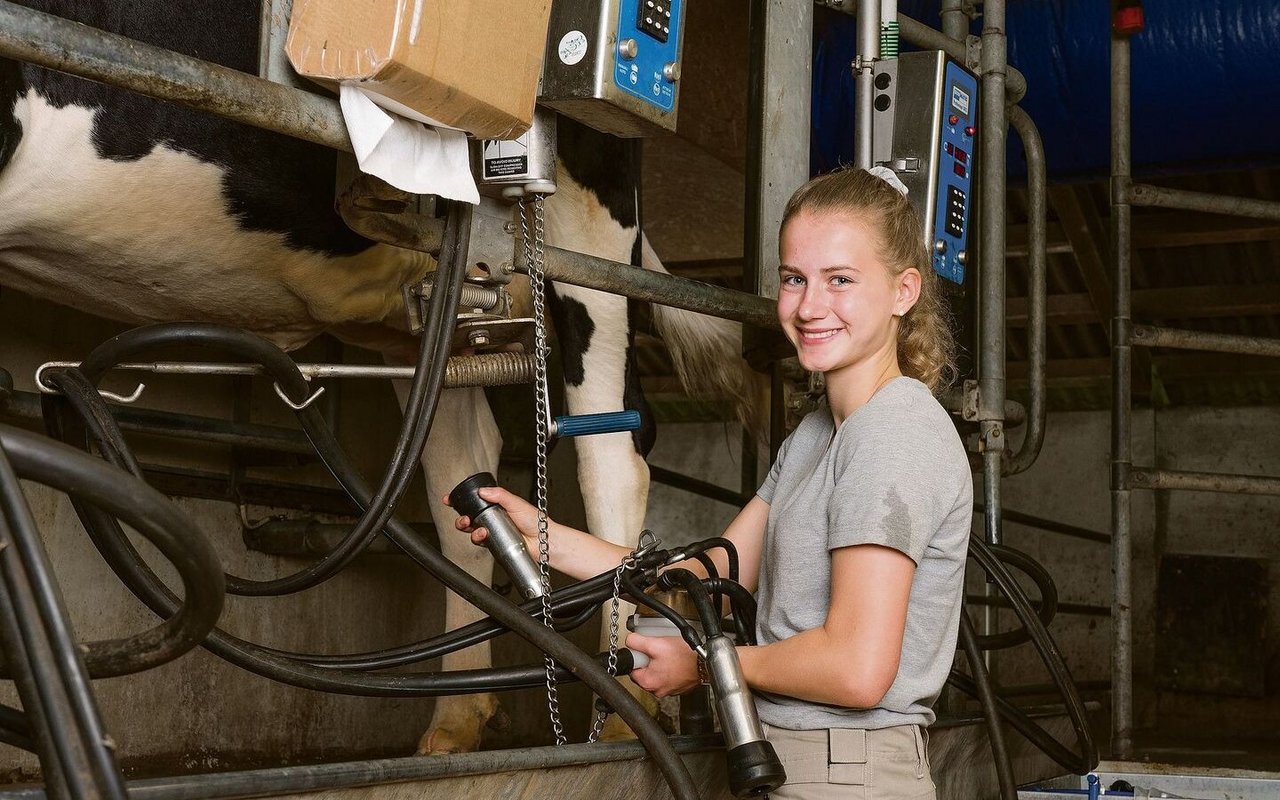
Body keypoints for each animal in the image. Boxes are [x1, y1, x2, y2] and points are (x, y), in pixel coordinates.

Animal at [0, 0, 752, 752]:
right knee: (460, 464)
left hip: (586, 243)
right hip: (425, 310)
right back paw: (454, 720)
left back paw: (623, 705)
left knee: (612, 454)